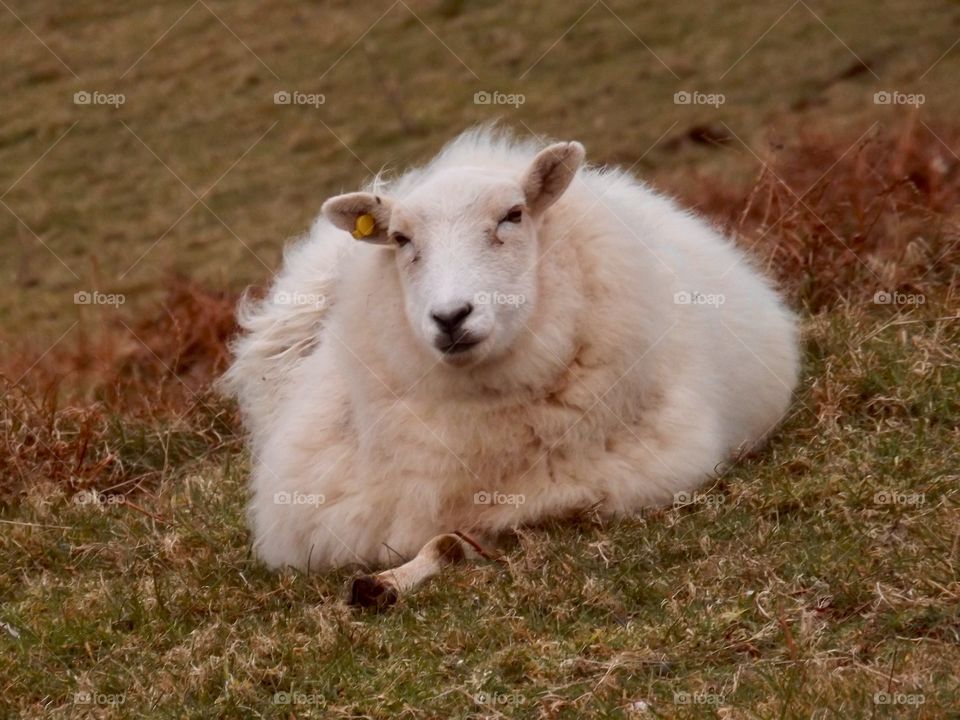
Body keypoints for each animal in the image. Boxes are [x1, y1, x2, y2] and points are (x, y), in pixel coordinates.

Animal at [221, 126, 800, 608]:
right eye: (402, 240)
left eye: (513, 216)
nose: (451, 316)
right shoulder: (320, 514)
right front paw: (381, 582)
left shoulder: (622, 477)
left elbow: (464, 535)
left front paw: (401, 575)